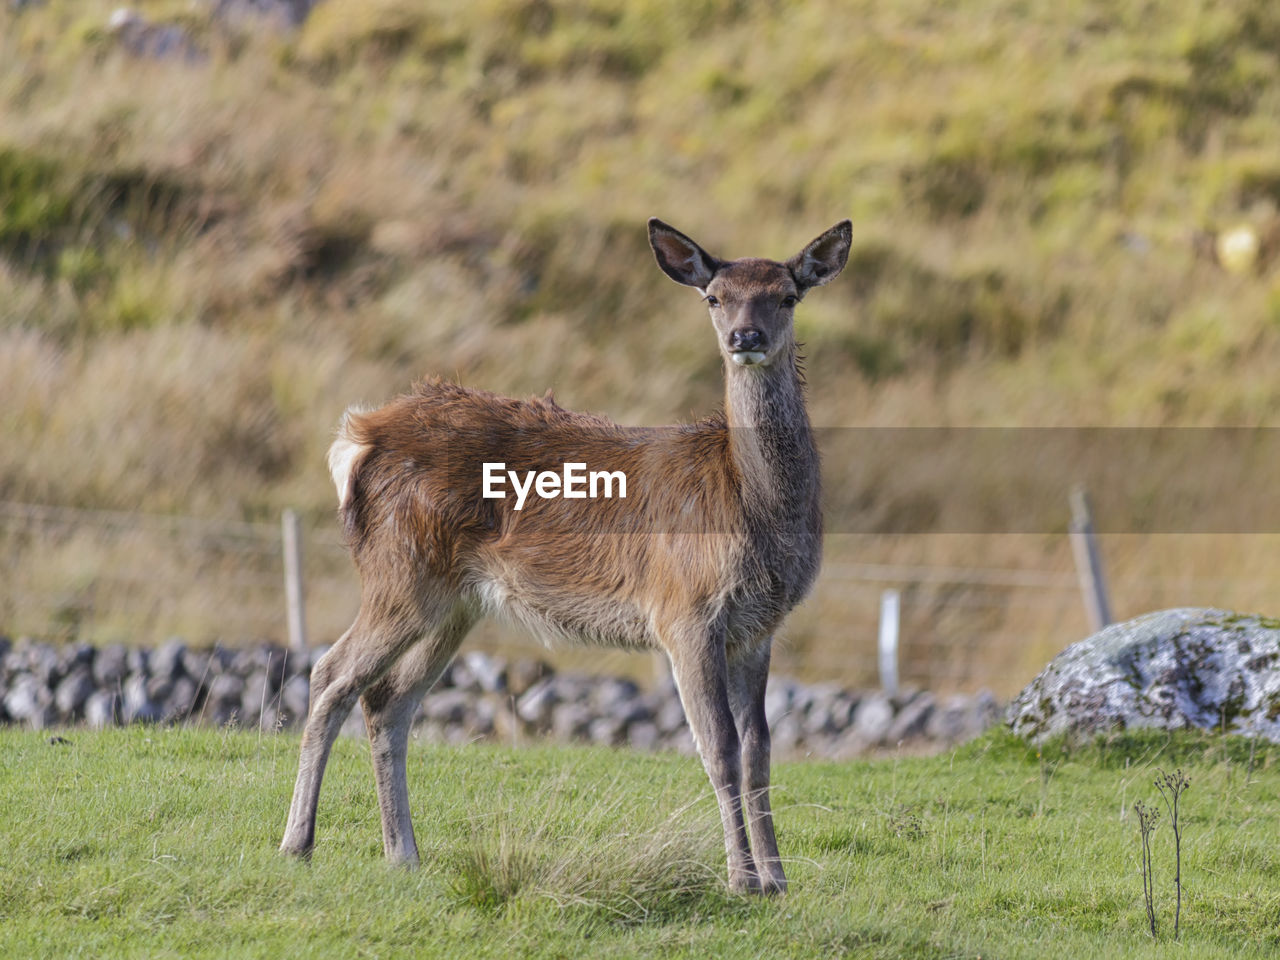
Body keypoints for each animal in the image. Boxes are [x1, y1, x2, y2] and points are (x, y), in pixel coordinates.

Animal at [279, 217, 852, 894]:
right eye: (714, 298)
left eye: (787, 296)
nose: (746, 337)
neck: (752, 508)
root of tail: (355, 440)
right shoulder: (683, 611)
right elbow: (719, 748)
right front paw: (742, 879)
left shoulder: (759, 628)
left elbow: (761, 749)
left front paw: (778, 881)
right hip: (400, 573)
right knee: (331, 674)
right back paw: (297, 843)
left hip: (454, 603)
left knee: (387, 699)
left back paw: (404, 854)